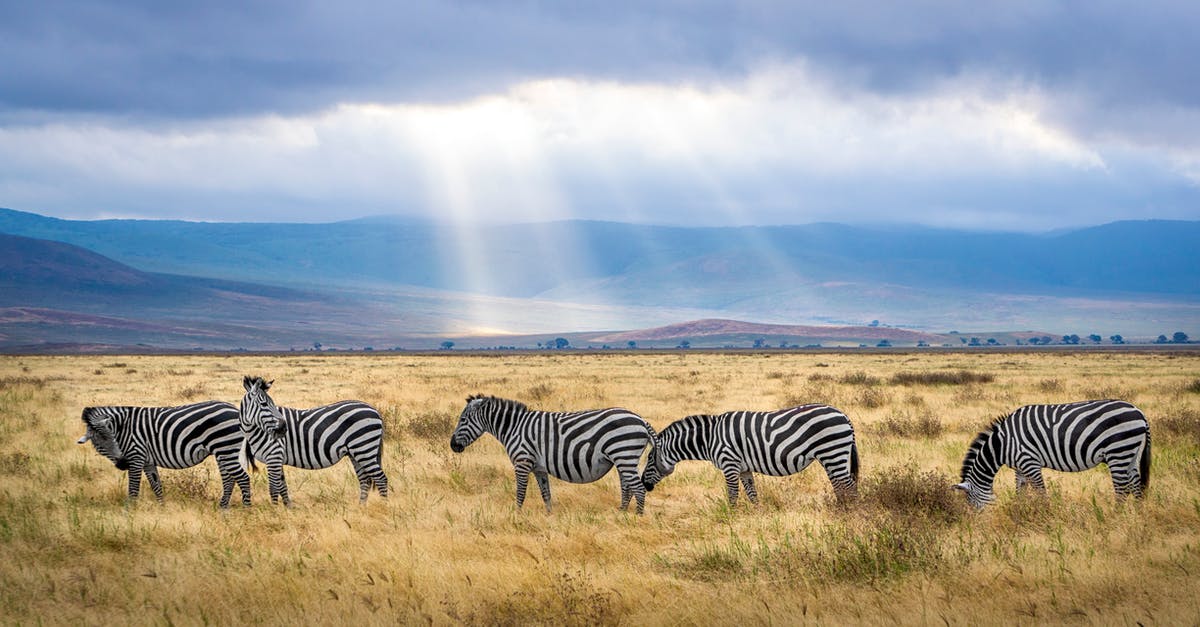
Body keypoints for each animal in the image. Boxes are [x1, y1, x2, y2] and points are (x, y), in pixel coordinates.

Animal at [75, 401, 253, 506]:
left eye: (113, 438)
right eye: (100, 443)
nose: (123, 463)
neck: (123, 428)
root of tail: (235, 409)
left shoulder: (136, 456)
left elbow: (133, 489)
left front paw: (129, 513)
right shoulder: (147, 461)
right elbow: (156, 485)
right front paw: (162, 508)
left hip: (226, 449)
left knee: (243, 478)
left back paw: (246, 510)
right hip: (223, 452)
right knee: (229, 480)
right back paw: (223, 508)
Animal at [241, 374, 391, 502]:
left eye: (271, 404)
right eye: (265, 404)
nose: (284, 428)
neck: (256, 430)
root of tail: (375, 410)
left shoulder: (274, 456)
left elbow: (273, 489)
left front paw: (276, 511)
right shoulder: (277, 458)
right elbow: (282, 487)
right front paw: (288, 508)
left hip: (364, 448)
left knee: (381, 479)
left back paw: (383, 506)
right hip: (356, 453)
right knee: (365, 480)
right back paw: (361, 507)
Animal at [451, 396, 657, 511]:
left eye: (462, 420)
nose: (452, 445)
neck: (513, 427)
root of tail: (641, 420)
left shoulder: (522, 462)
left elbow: (520, 492)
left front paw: (516, 515)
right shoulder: (539, 468)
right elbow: (546, 494)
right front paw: (549, 516)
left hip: (624, 454)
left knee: (638, 488)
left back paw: (637, 518)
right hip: (624, 458)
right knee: (627, 487)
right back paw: (621, 513)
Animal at [643, 403, 859, 504]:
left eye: (650, 459)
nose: (645, 484)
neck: (709, 438)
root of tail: (844, 415)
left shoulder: (729, 464)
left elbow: (732, 495)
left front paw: (730, 518)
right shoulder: (743, 468)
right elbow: (752, 493)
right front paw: (757, 515)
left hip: (832, 451)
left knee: (848, 485)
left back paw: (850, 513)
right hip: (831, 456)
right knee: (840, 485)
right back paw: (840, 509)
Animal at [955, 398, 1152, 504]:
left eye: (970, 501)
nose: (974, 523)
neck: (1002, 444)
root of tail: (1139, 412)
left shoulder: (1030, 462)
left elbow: (1041, 492)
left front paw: (1045, 515)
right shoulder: (1020, 467)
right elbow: (1020, 491)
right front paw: (1019, 511)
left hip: (1118, 452)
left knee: (1122, 489)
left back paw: (1115, 517)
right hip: (1131, 453)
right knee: (1136, 486)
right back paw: (1137, 518)